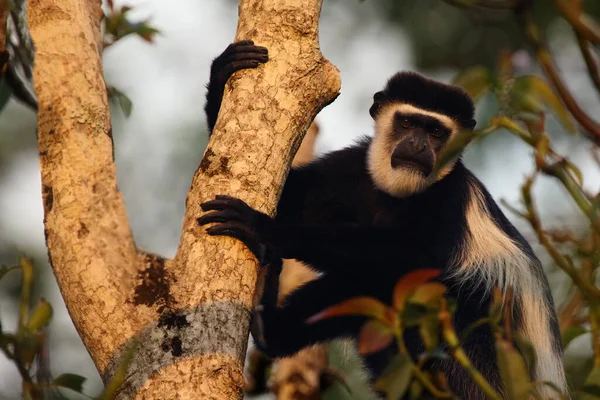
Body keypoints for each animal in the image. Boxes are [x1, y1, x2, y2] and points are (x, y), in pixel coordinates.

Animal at [200, 41, 568, 400]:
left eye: (436, 131)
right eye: (407, 123)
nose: (418, 144)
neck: (396, 193)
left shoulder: (450, 197)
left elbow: (418, 257)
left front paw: (266, 229)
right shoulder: (350, 167)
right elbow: (288, 194)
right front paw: (224, 71)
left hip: (481, 357)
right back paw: (269, 326)